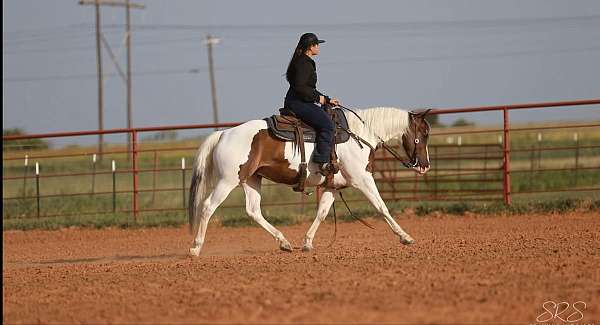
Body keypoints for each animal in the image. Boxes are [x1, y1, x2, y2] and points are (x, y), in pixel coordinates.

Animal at [188, 105, 432, 254]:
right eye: (424, 134)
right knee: (208, 207)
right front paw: (405, 237)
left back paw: (285, 242)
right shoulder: (363, 179)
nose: (425, 165)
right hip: (227, 181)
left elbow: (322, 213)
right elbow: (382, 207)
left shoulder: (333, 187)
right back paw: (195, 248)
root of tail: (223, 133)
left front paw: (307, 243)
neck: (359, 135)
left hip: (251, 180)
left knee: (253, 211)